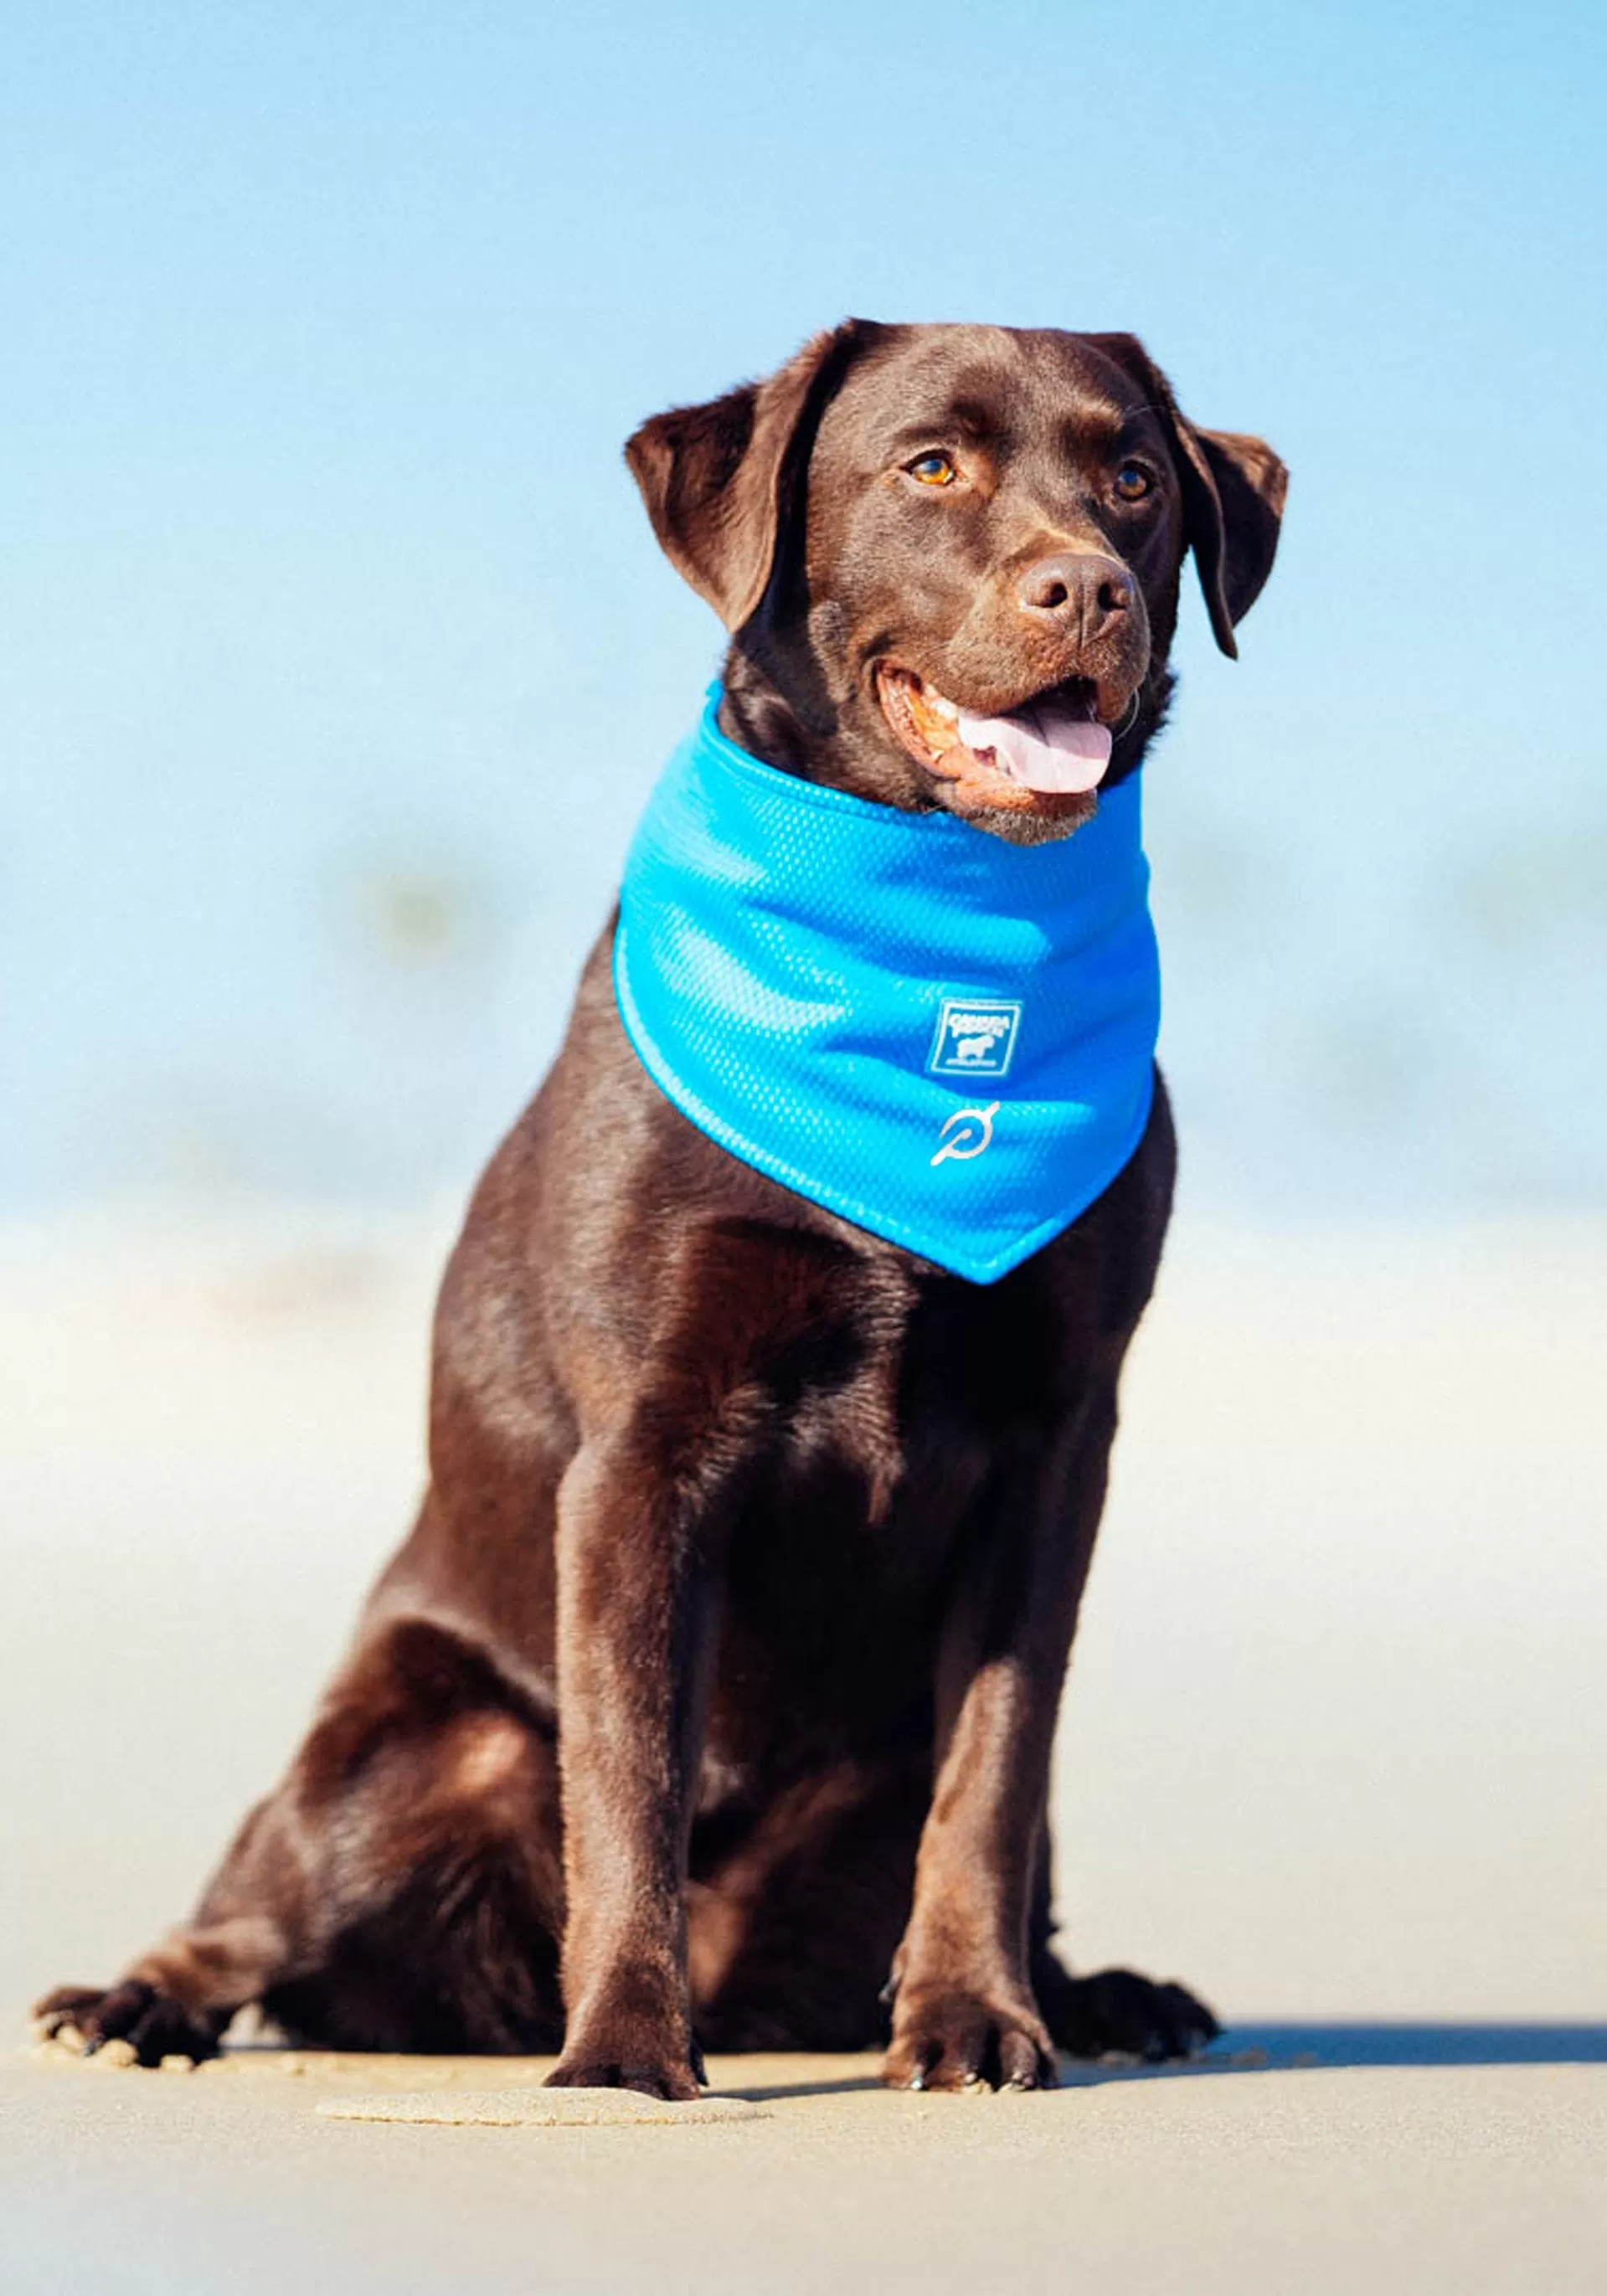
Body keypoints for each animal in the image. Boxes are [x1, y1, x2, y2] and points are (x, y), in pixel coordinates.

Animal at [37, 323, 1285, 2103]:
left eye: (1130, 479)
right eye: (929, 465)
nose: (1089, 589)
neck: (937, 965)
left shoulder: (1058, 1442)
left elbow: (992, 1769)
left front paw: (974, 2017)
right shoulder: (645, 1443)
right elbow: (630, 1766)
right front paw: (625, 2051)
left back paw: (1097, 1990)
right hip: (416, 1744)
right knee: (259, 1905)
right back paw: (143, 1998)